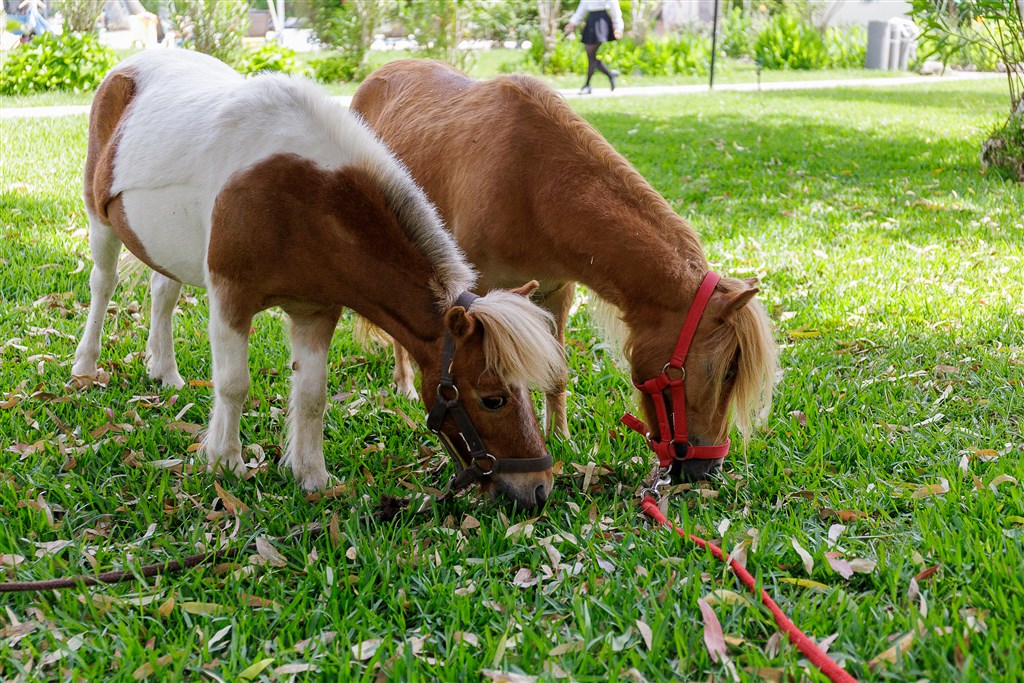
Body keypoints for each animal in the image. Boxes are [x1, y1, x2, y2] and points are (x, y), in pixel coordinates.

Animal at [72, 50, 569, 509]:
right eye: (493, 398)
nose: (539, 488)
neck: (303, 197)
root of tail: (128, 67)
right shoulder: (232, 298)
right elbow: (234, 385)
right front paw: (225, 462)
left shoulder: (316, 311)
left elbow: (313, 394)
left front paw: (311, 475)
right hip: (101, 223)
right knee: (103, 285)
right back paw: (85, 367)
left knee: (164, 293)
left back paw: (166, 372)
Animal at [352, 61, 774, 483]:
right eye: (726, 372)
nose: (709, 467)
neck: (532, 182)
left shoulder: (556, 293)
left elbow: (556, 372)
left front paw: (560, 437)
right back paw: (404, 385)